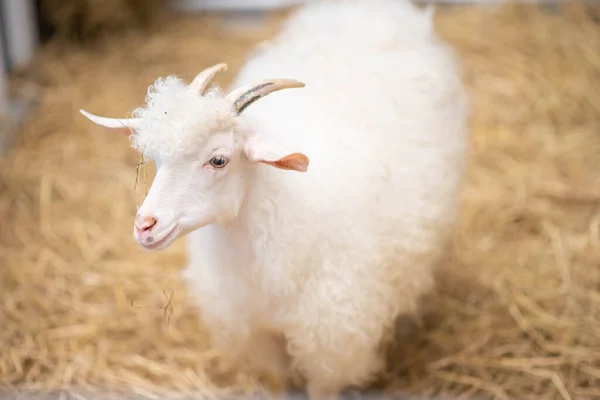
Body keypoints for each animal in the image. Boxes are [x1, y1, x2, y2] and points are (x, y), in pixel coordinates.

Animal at [79, 1, 472, 398]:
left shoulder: (331, 337)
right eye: (156, 159)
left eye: (219, 160)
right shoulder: (257, 333)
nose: (145, 226)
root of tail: (370, 10)